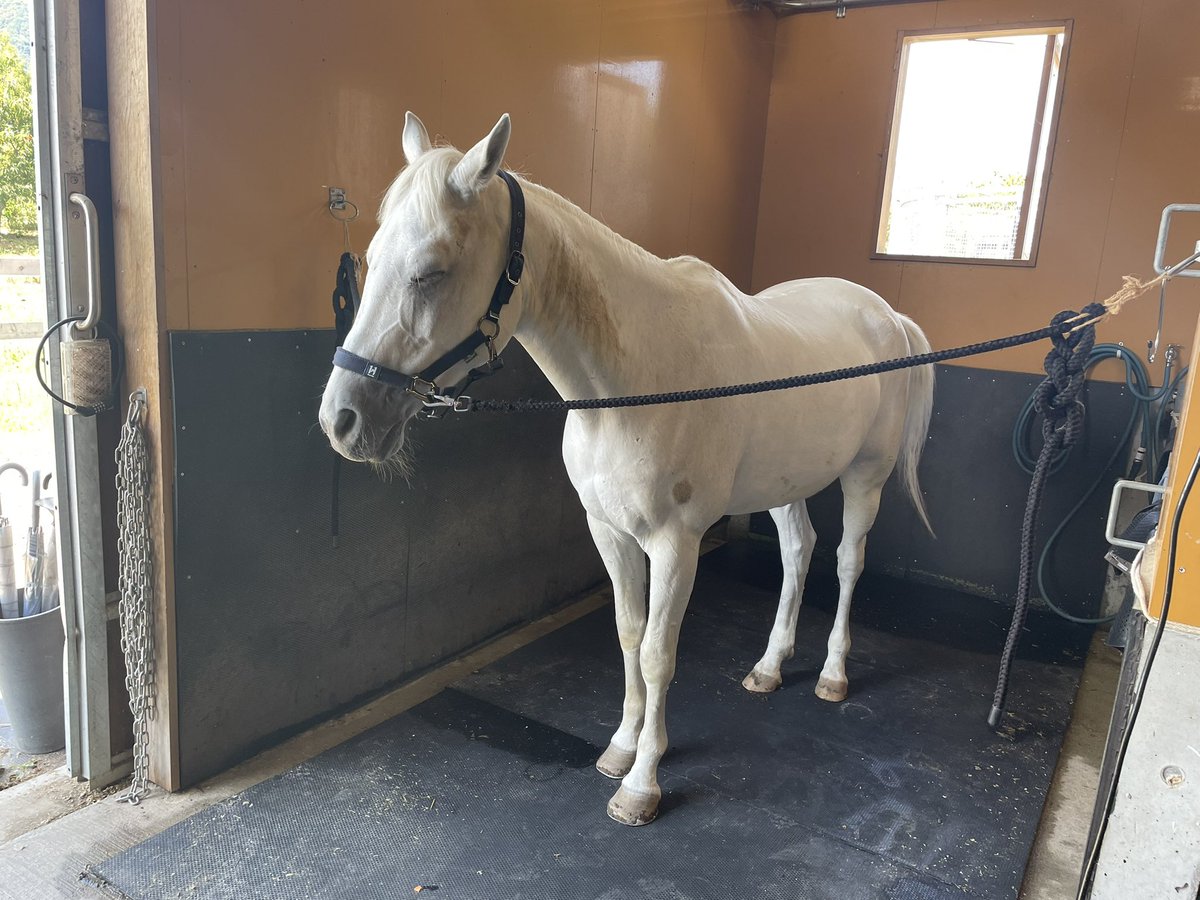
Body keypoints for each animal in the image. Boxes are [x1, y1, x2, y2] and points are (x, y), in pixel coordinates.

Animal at [319, 113, 935, 827]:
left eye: (429, 272)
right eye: (370, 258)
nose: (342, 419)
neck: (631, 385)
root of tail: (887, 316)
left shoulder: (676, 543)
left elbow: (659, 654)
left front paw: (642, 784)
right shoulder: (609, 532)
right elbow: (628, 637)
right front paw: (621, 746)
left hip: (866, 476)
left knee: (847, 561)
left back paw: (833, 675)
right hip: (787, 482)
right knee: (798, 552)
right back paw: (770, 666)